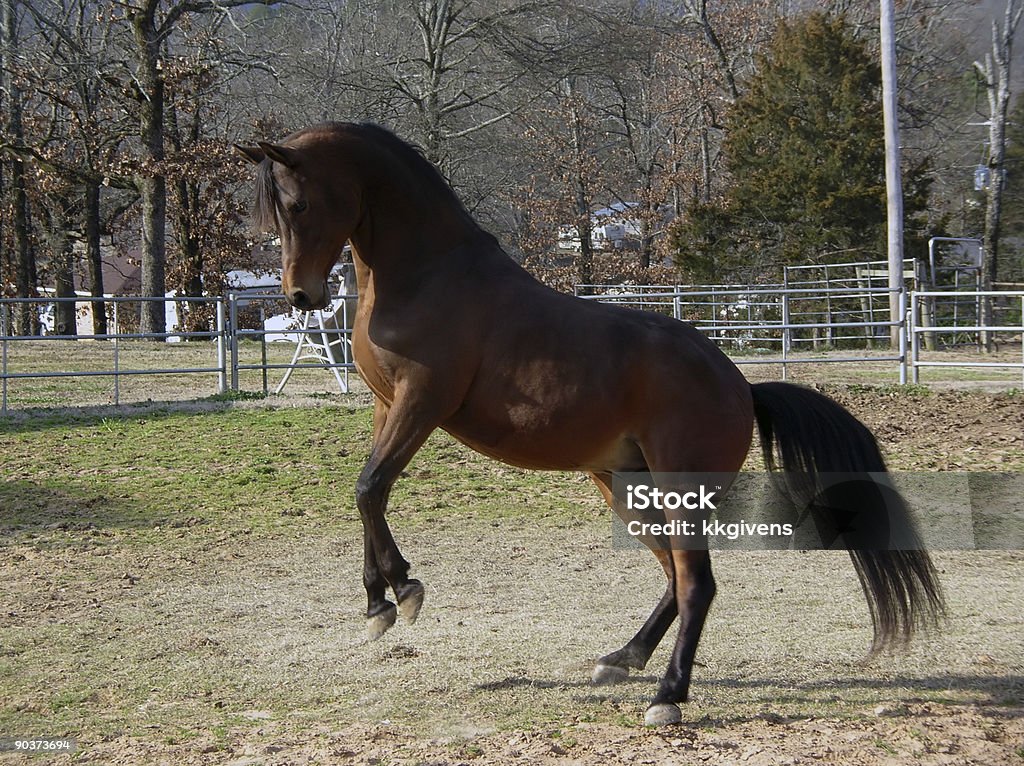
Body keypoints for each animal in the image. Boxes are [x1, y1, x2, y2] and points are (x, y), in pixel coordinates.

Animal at [232, 122, 942, 729]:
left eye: (297, 205)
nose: (300, 297)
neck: (426, 274)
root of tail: (740, 385)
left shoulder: (421, 404)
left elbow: (370, 487)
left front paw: (402, 590)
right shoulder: (387, 407)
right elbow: (365, 492)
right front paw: (380, 601)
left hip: (678, 491)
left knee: (698, 585)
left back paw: (668, 698)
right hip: (626, 487)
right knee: (674, 579)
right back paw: (622, 660)